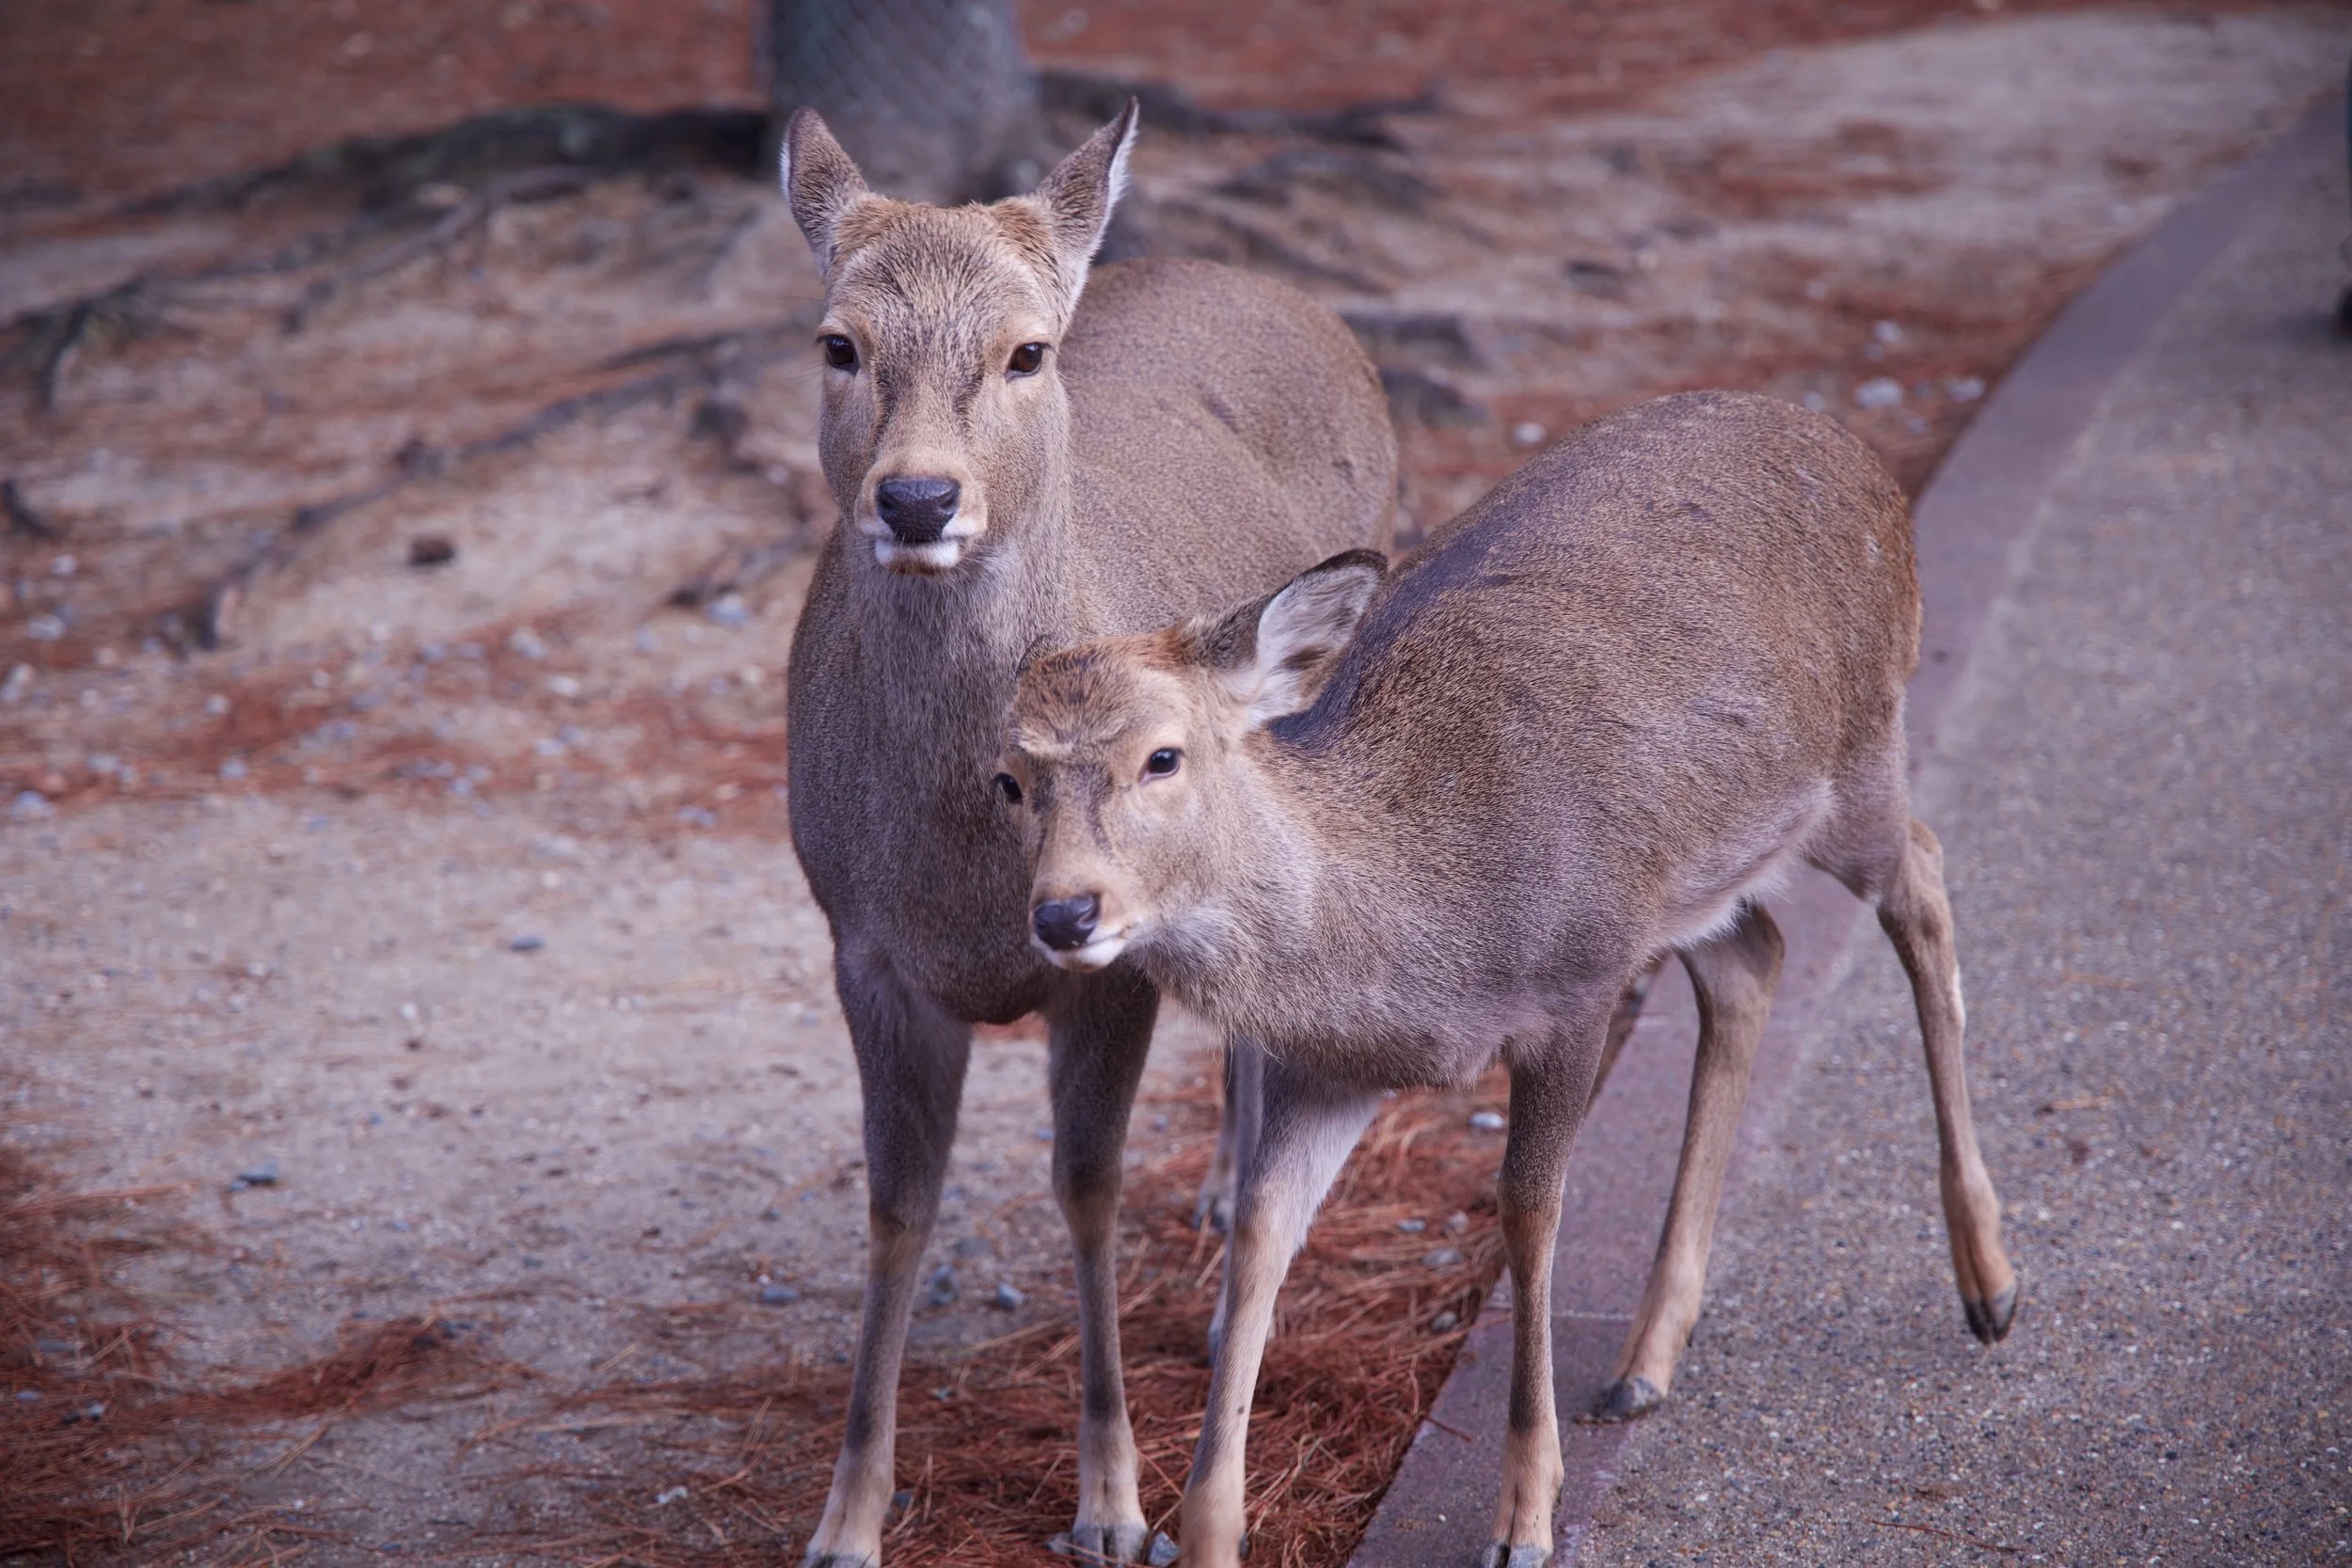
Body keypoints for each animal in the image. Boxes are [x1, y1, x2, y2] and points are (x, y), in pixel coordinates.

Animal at [775, 102, 1397, 1566]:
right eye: (838, 341)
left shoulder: (1111, 963)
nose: (918, 498)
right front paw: (847, 1513)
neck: (961, 865)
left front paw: (1113, 1502)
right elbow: (897, 1207)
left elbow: (1091, 1185)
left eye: (1026, 350)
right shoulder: (859, 944)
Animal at [1000, 390, 2019, 1567]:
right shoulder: (1332, 1066)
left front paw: (1523, 1515)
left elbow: (1528, 1212)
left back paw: (1989, 1282)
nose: (1064, 912)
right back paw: (1644, 1360)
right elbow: (1259, 1233)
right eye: (1008, 779)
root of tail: (1853, 452)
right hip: (1690, 875)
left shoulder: (1575, 980)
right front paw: (1206, 1529)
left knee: (1923, 881)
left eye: (1162, 755)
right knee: (1753, 953)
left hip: (1859, 750)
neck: (1421, 940)